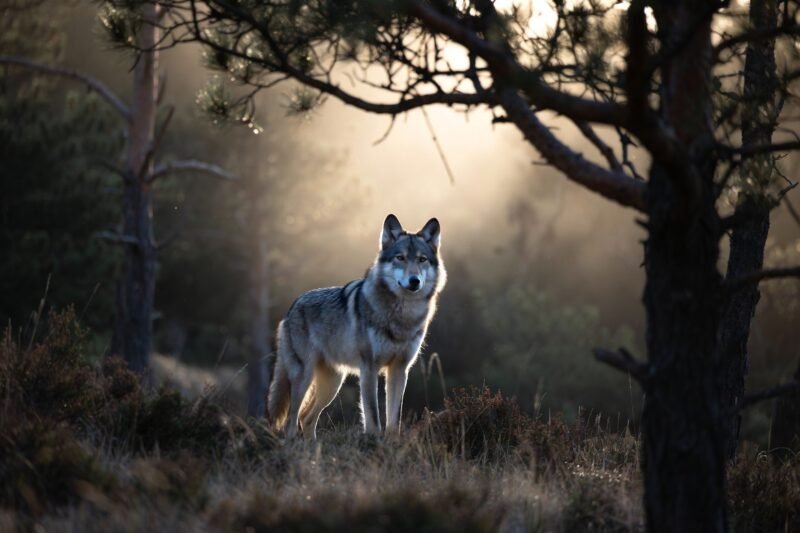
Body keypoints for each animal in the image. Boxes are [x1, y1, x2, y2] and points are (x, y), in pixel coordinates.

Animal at [267, 214, 446, 439]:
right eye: (400, 258)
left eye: (422, 259)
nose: (414, 281)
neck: (402, 315)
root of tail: (293, 306)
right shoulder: (369, 367)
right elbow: (373, 416)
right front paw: (373, 440)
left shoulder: (399, 369)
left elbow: (394, 418)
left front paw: (392, 441)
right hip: (304, 376)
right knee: (291, 420)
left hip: (333, 383)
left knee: (306, 417)